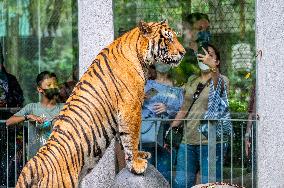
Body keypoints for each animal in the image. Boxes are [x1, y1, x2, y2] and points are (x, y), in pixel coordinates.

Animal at [15, 19, 185, 187]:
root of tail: (35, 163)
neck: (140, 55)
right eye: (169, 38)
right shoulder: (131, 107)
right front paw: (136, 163)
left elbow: (123, 139)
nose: (183, 52)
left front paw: (139, 156)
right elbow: (132, 137)